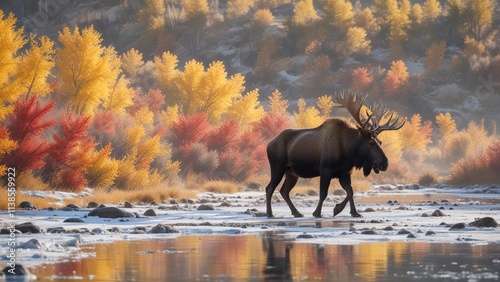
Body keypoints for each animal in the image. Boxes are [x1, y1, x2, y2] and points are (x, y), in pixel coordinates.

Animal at [266, 92, 406, 218]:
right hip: (278, 167)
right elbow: (323, 193)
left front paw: (349, 211)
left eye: (380, 141)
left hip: (292, 173)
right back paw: (270, 213)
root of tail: (269, 144)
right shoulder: (325, 169)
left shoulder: (345, 173)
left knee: (284, 191)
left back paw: (296, 212)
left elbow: (350, 191)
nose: (384, 163)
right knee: (270, 188)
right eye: (370, 142)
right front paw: (317, 213)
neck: (349, 152)